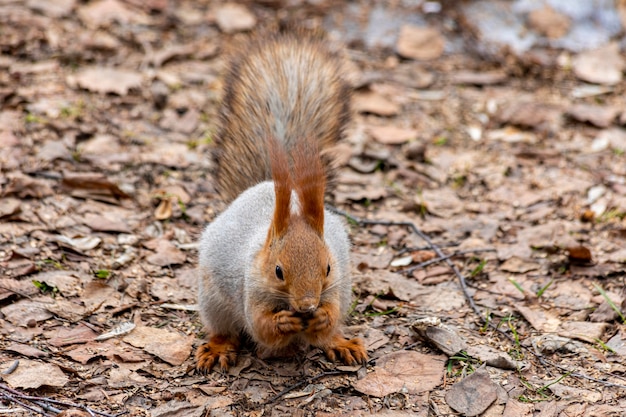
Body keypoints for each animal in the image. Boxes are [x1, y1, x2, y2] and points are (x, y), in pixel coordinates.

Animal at [195, 31, 368, 370]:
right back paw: (218, 348)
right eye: (278, 271)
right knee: (224, 329)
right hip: (212, 301)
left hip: (346, 292)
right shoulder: (251, 289)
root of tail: (262, 186)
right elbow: (261, 327)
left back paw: (340, 342)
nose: (307, 305)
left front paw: (321, 321)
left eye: (328, 268)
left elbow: (328, 319)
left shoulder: (335, 286)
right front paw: (282, 323)